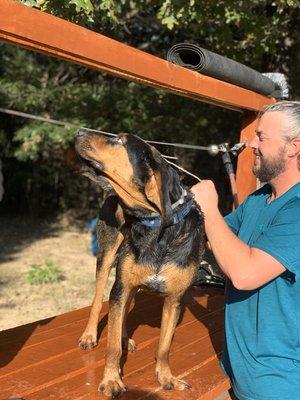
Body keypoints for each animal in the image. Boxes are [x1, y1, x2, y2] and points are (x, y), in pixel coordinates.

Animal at [73, 131, 205, 396]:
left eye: (121, 141)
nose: (79, 132)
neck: (156, 227)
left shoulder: (175, 299)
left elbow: (164, 347)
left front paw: (166, 377)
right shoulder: (120, 287)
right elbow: (112, 346)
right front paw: (111, 380)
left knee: (123, 312)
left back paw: (125, 337)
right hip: (107, 261)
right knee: (97, 302)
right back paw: (90, 335)